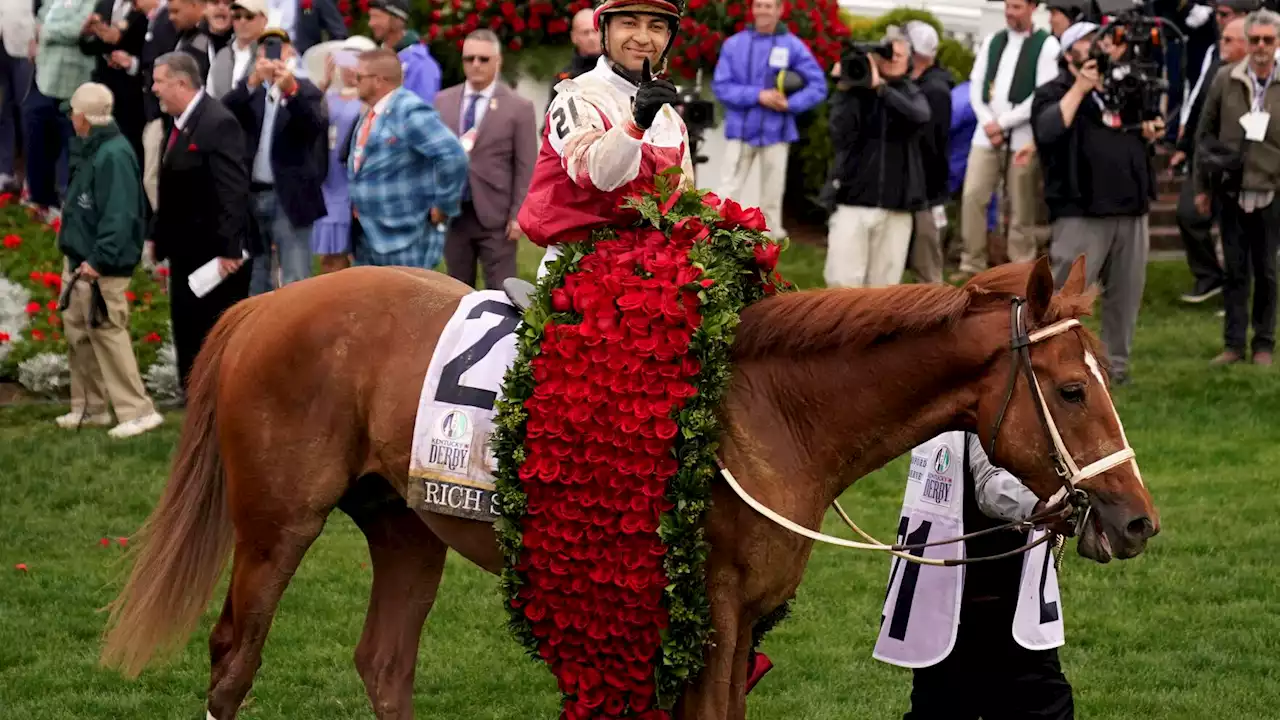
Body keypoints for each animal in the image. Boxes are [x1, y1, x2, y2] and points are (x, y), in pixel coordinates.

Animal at [99, 254, 1162, 717]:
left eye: (1107, 379)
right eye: (1073, 389)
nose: (1138, 520)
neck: (770, 408)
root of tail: (268, 300)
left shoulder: (745, 621)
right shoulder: (716, 615)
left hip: (404, 526)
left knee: (384, 664)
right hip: (277, 525)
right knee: (233, 659)